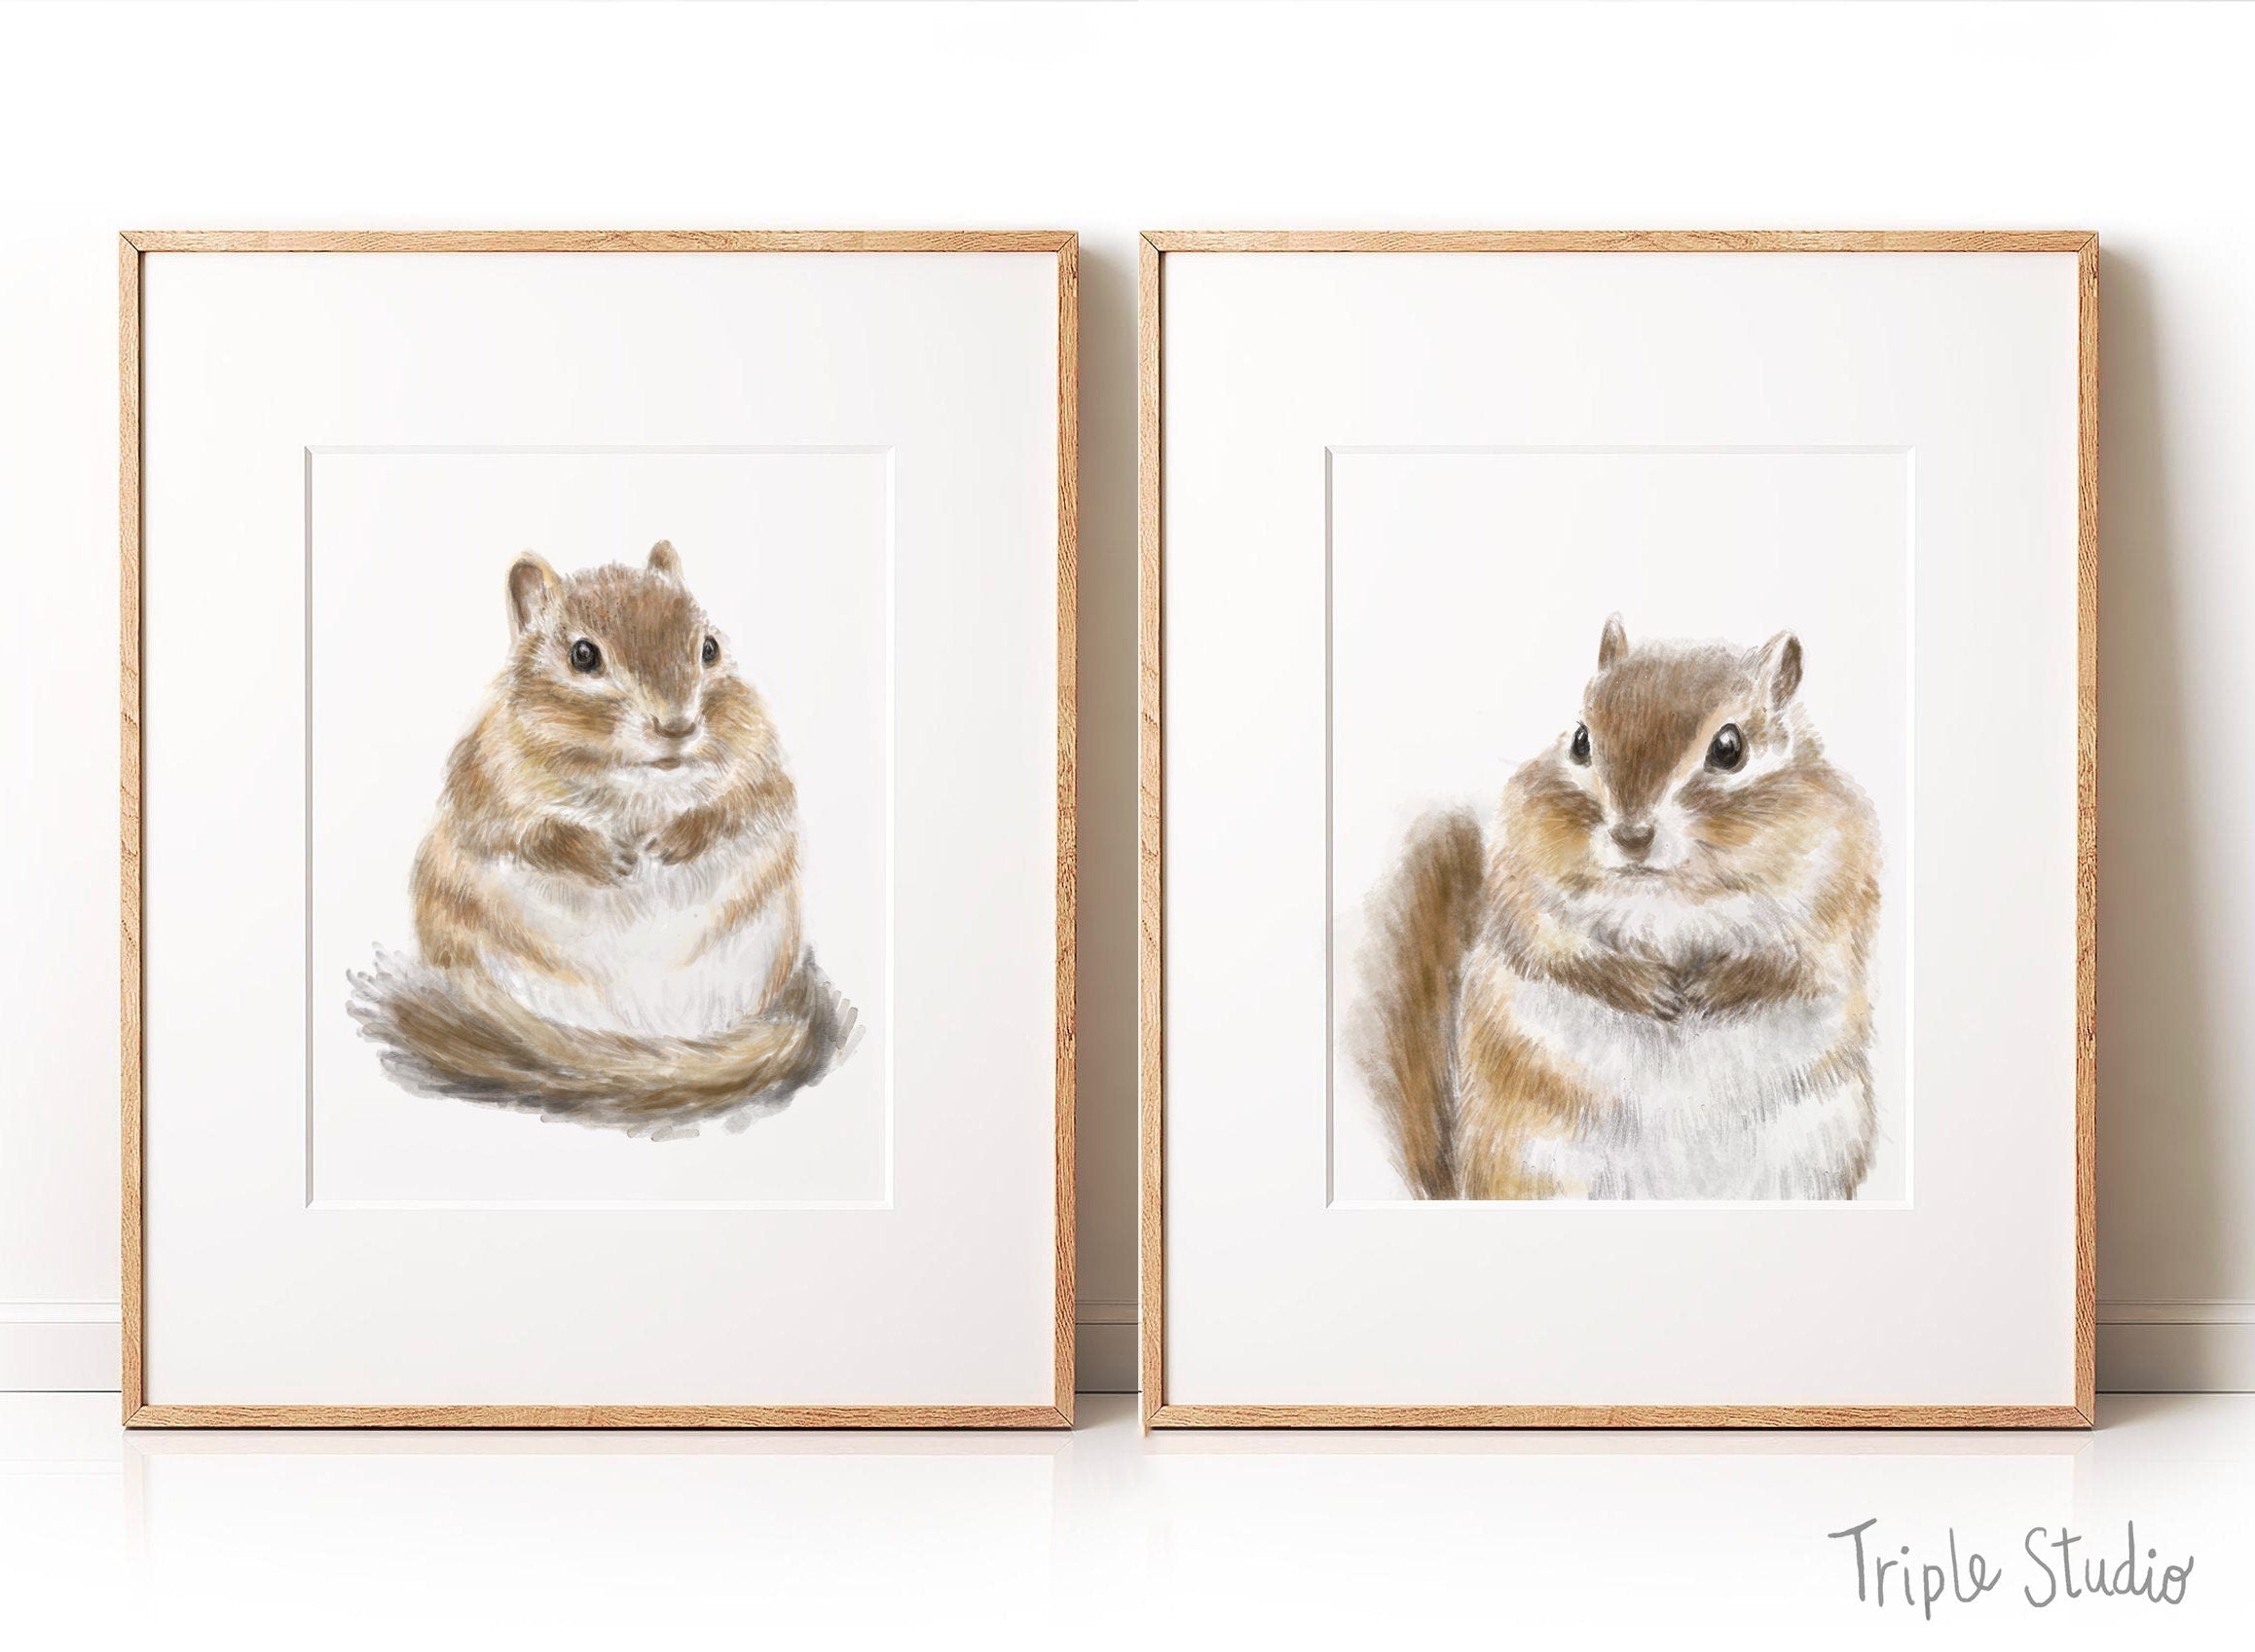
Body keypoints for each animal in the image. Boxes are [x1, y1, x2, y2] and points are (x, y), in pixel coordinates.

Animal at [348, 541, 855, 1137]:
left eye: (709, 648)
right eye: (583, 656)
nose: (678, 726)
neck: (636, 779)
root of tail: (642, 1037)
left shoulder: (761, 767)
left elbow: (740, 807)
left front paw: (674, 839)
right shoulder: (486, 784)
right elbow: (528, 834)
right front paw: (602, 856)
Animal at [1349, 614, 1881, 1199]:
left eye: (1729, 748)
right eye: (1581, 740)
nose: (1631, 836)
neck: (1669, 892)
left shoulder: (1837, 893)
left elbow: (1797, 965)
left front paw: (1716, 986)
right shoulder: (1522, 886)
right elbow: (1556, 953)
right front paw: (1644, 988)